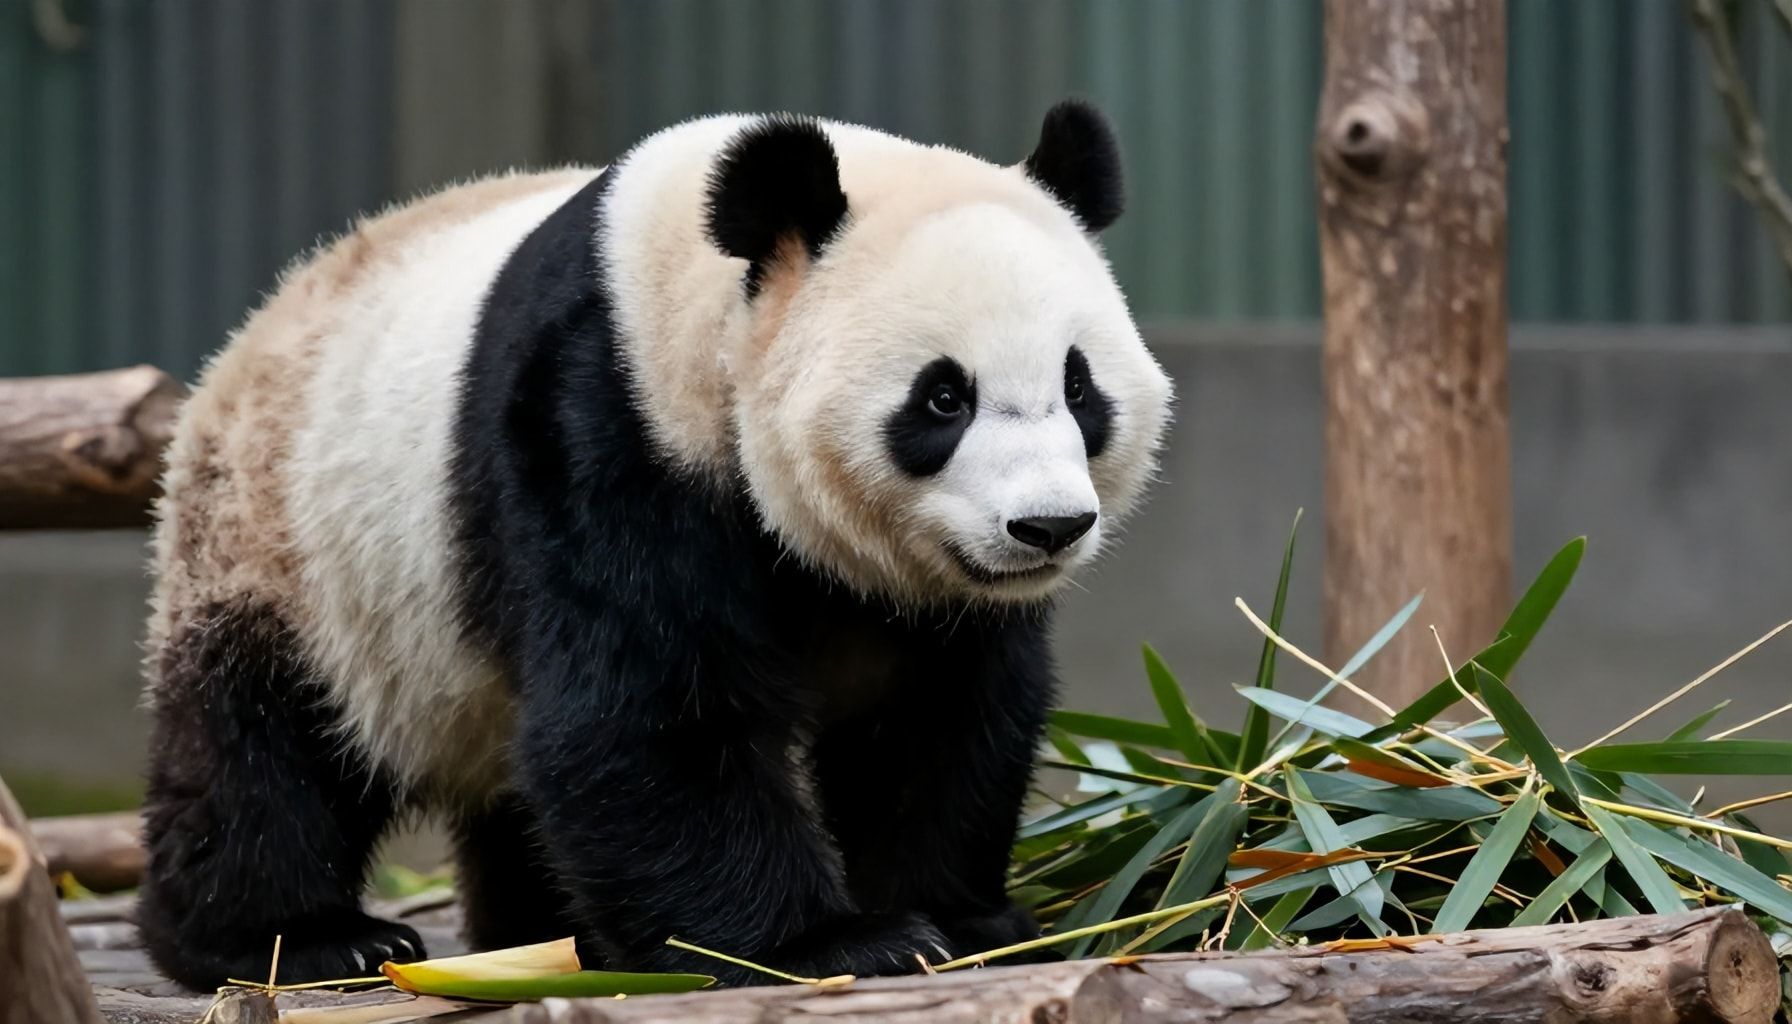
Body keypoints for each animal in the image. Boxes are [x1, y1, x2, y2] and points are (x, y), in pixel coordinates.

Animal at [136, 99, 1173, 989]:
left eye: (1080, 388)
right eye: (944, 397)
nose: (1047, 527)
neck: (704, 302)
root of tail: (258, 325)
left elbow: (939, 715)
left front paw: (962, 919)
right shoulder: (601, 425)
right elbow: (650, 710)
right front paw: (828, 944)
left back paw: (547, 934)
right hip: (290, 541)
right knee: (260, 743)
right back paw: (297, 941)